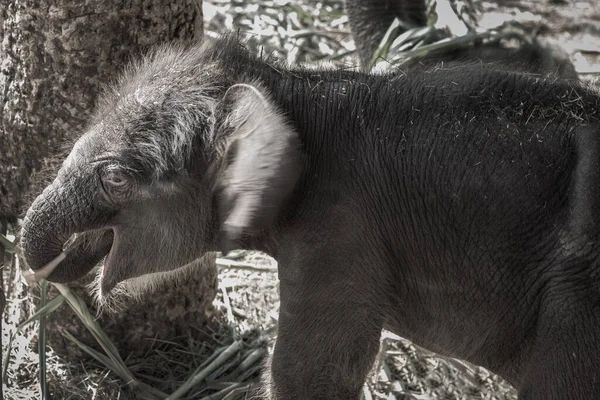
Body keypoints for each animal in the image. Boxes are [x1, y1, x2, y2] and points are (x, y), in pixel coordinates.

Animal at [18, 35, 600, 400]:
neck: (291, 90)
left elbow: (309, 376)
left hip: (575, 300)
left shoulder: (341, 232)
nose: (42, 275)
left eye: (115, 178)